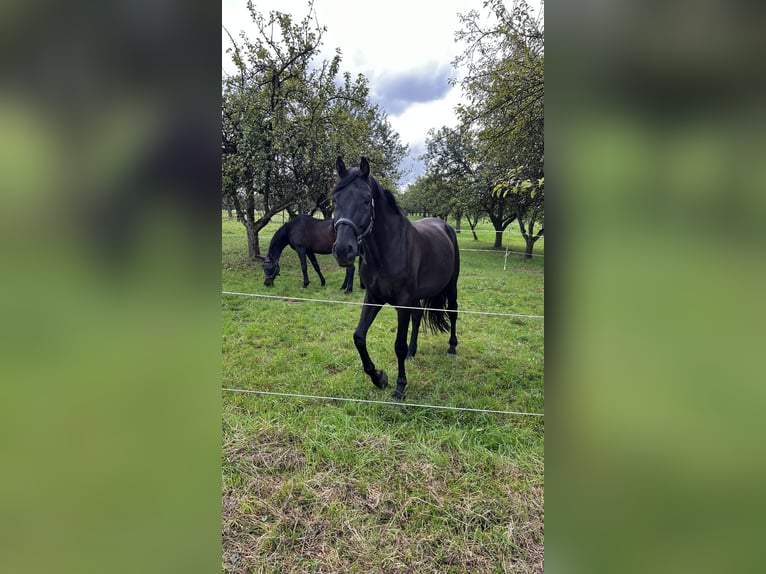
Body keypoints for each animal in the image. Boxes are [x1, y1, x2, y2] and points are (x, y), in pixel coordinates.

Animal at [332, 158, 462, 400]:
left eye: (366, 200)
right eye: (335, 199)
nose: (343, 250)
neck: (387, 250)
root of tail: (445, 225)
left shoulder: (402, 302)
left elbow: (398, 345)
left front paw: (400, 387)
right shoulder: (373, 298)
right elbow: (359, 337)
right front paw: (379, 377)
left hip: (451, 286)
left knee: (453, 312)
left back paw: (451, 347)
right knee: (418, 317)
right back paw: (413, 352)